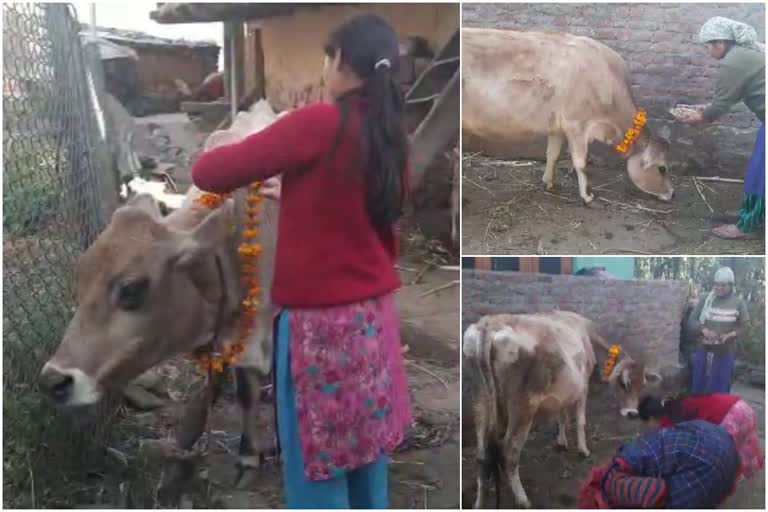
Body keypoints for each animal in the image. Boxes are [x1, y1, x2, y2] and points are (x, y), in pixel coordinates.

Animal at [460, 308, 664, 508]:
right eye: (624, 383)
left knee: (482, 455)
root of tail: (490, 324)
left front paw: (562, 441)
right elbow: (580, 421)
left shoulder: (564, 393)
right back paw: (523, 499)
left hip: (480, 400)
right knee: (509, 453)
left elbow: (562, 416)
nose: (632, 413)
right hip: (522, 408)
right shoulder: (583, 387)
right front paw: (583, 449)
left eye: (642, 385)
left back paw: (479, 501)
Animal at [462, 28, 672, 206]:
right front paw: (587, 196)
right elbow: (581, 163)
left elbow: (552, 155)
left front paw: (549, 183)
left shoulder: (557, 126)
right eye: (662, 168)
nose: (672, 193)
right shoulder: (577, 124)